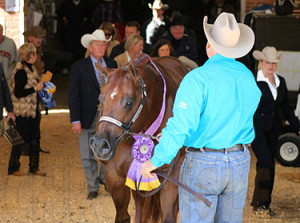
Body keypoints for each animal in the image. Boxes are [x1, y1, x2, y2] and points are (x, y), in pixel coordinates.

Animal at [89, 54, 188, 223]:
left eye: (129, 102)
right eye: (101, 99)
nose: (100, 144)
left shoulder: (171, 177)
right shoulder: (114, 175)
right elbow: (123, 216)